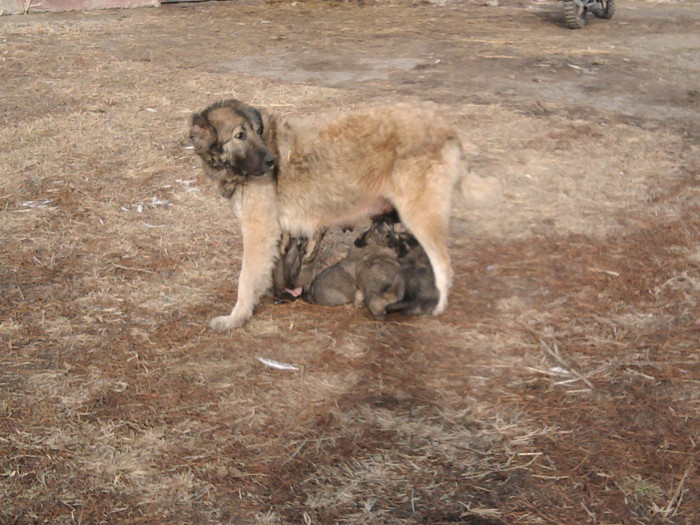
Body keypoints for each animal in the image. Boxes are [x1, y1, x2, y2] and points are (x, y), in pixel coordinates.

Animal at [189, 98, 474, 328]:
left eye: (256, 133)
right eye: (240, 135)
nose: (271, 162)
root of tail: (446, 127)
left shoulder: (258, 230)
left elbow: (245, 280)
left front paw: (235, 318)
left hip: (420, 217)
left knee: (444, 266)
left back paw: (435, 307)